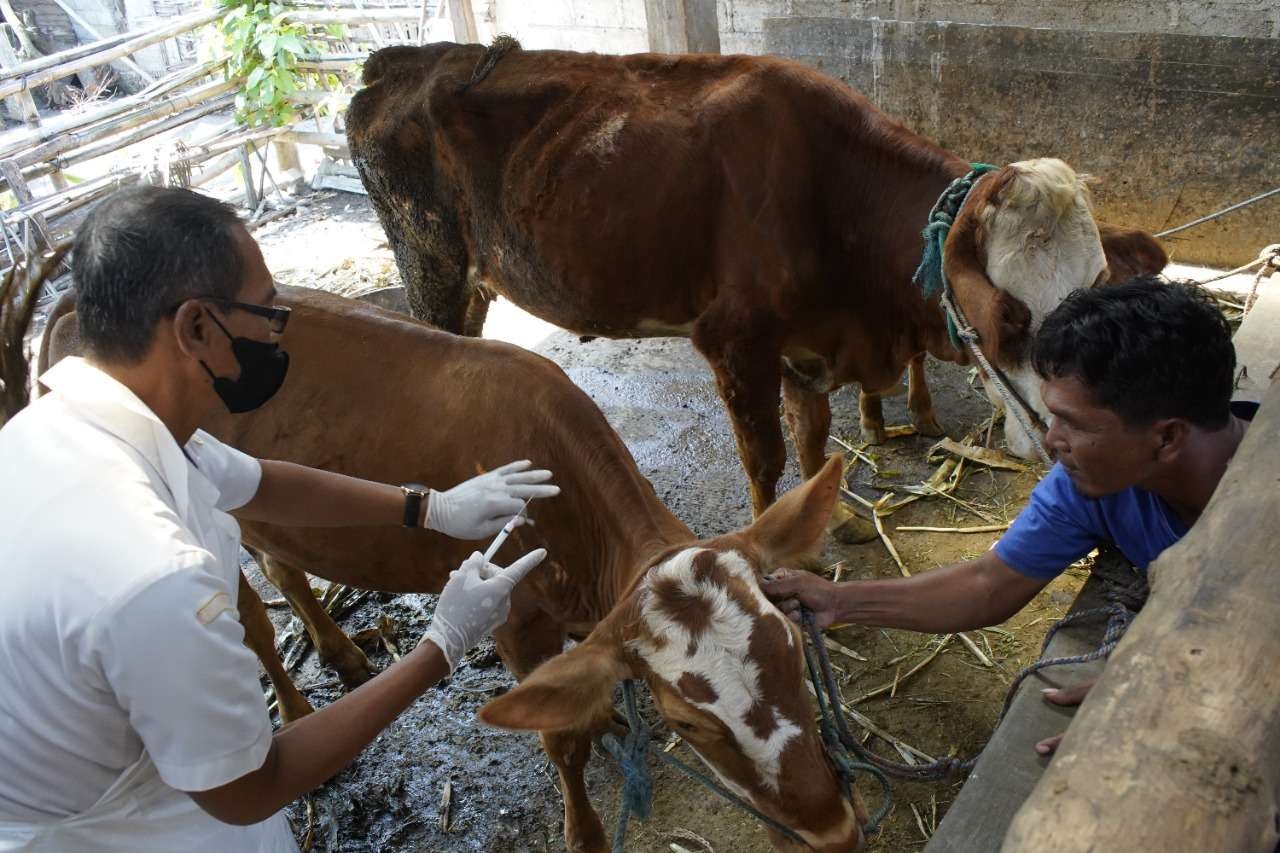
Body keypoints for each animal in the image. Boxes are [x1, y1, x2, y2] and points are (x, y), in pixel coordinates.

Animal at [345, 39, 1167, 537]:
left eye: (1096, 291)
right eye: (1008, 314)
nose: (1064, 438)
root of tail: (399, 60)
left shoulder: (807, 347)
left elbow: (812, 442)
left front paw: (829, 521)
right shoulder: (735, 342)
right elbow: (766, 458)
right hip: (431, 270)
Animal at [481, 458, 870, 850]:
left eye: (799, 657)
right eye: (685, 723)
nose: (835, 836)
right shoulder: (517, 625)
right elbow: (561, 736)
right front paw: (584, 835)